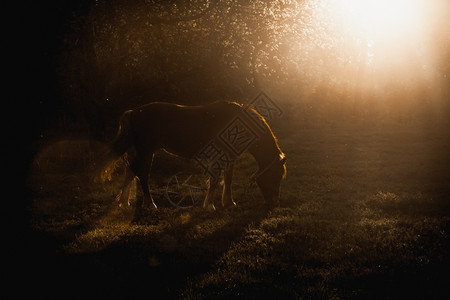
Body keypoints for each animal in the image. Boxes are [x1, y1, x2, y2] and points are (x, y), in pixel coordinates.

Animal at [102, 101, 286, 220]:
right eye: (276, 175)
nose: (274, 203)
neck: (237, 123)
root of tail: (133, 112)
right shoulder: (220, 157)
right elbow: (215, 180)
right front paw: (210, 206)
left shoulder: (229, 158)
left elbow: (228, 179)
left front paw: (229, 203)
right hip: (147, 152)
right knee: (142, 175)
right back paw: (151, 204)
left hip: (140, 152)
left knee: (131, 172)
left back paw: (125, 203)